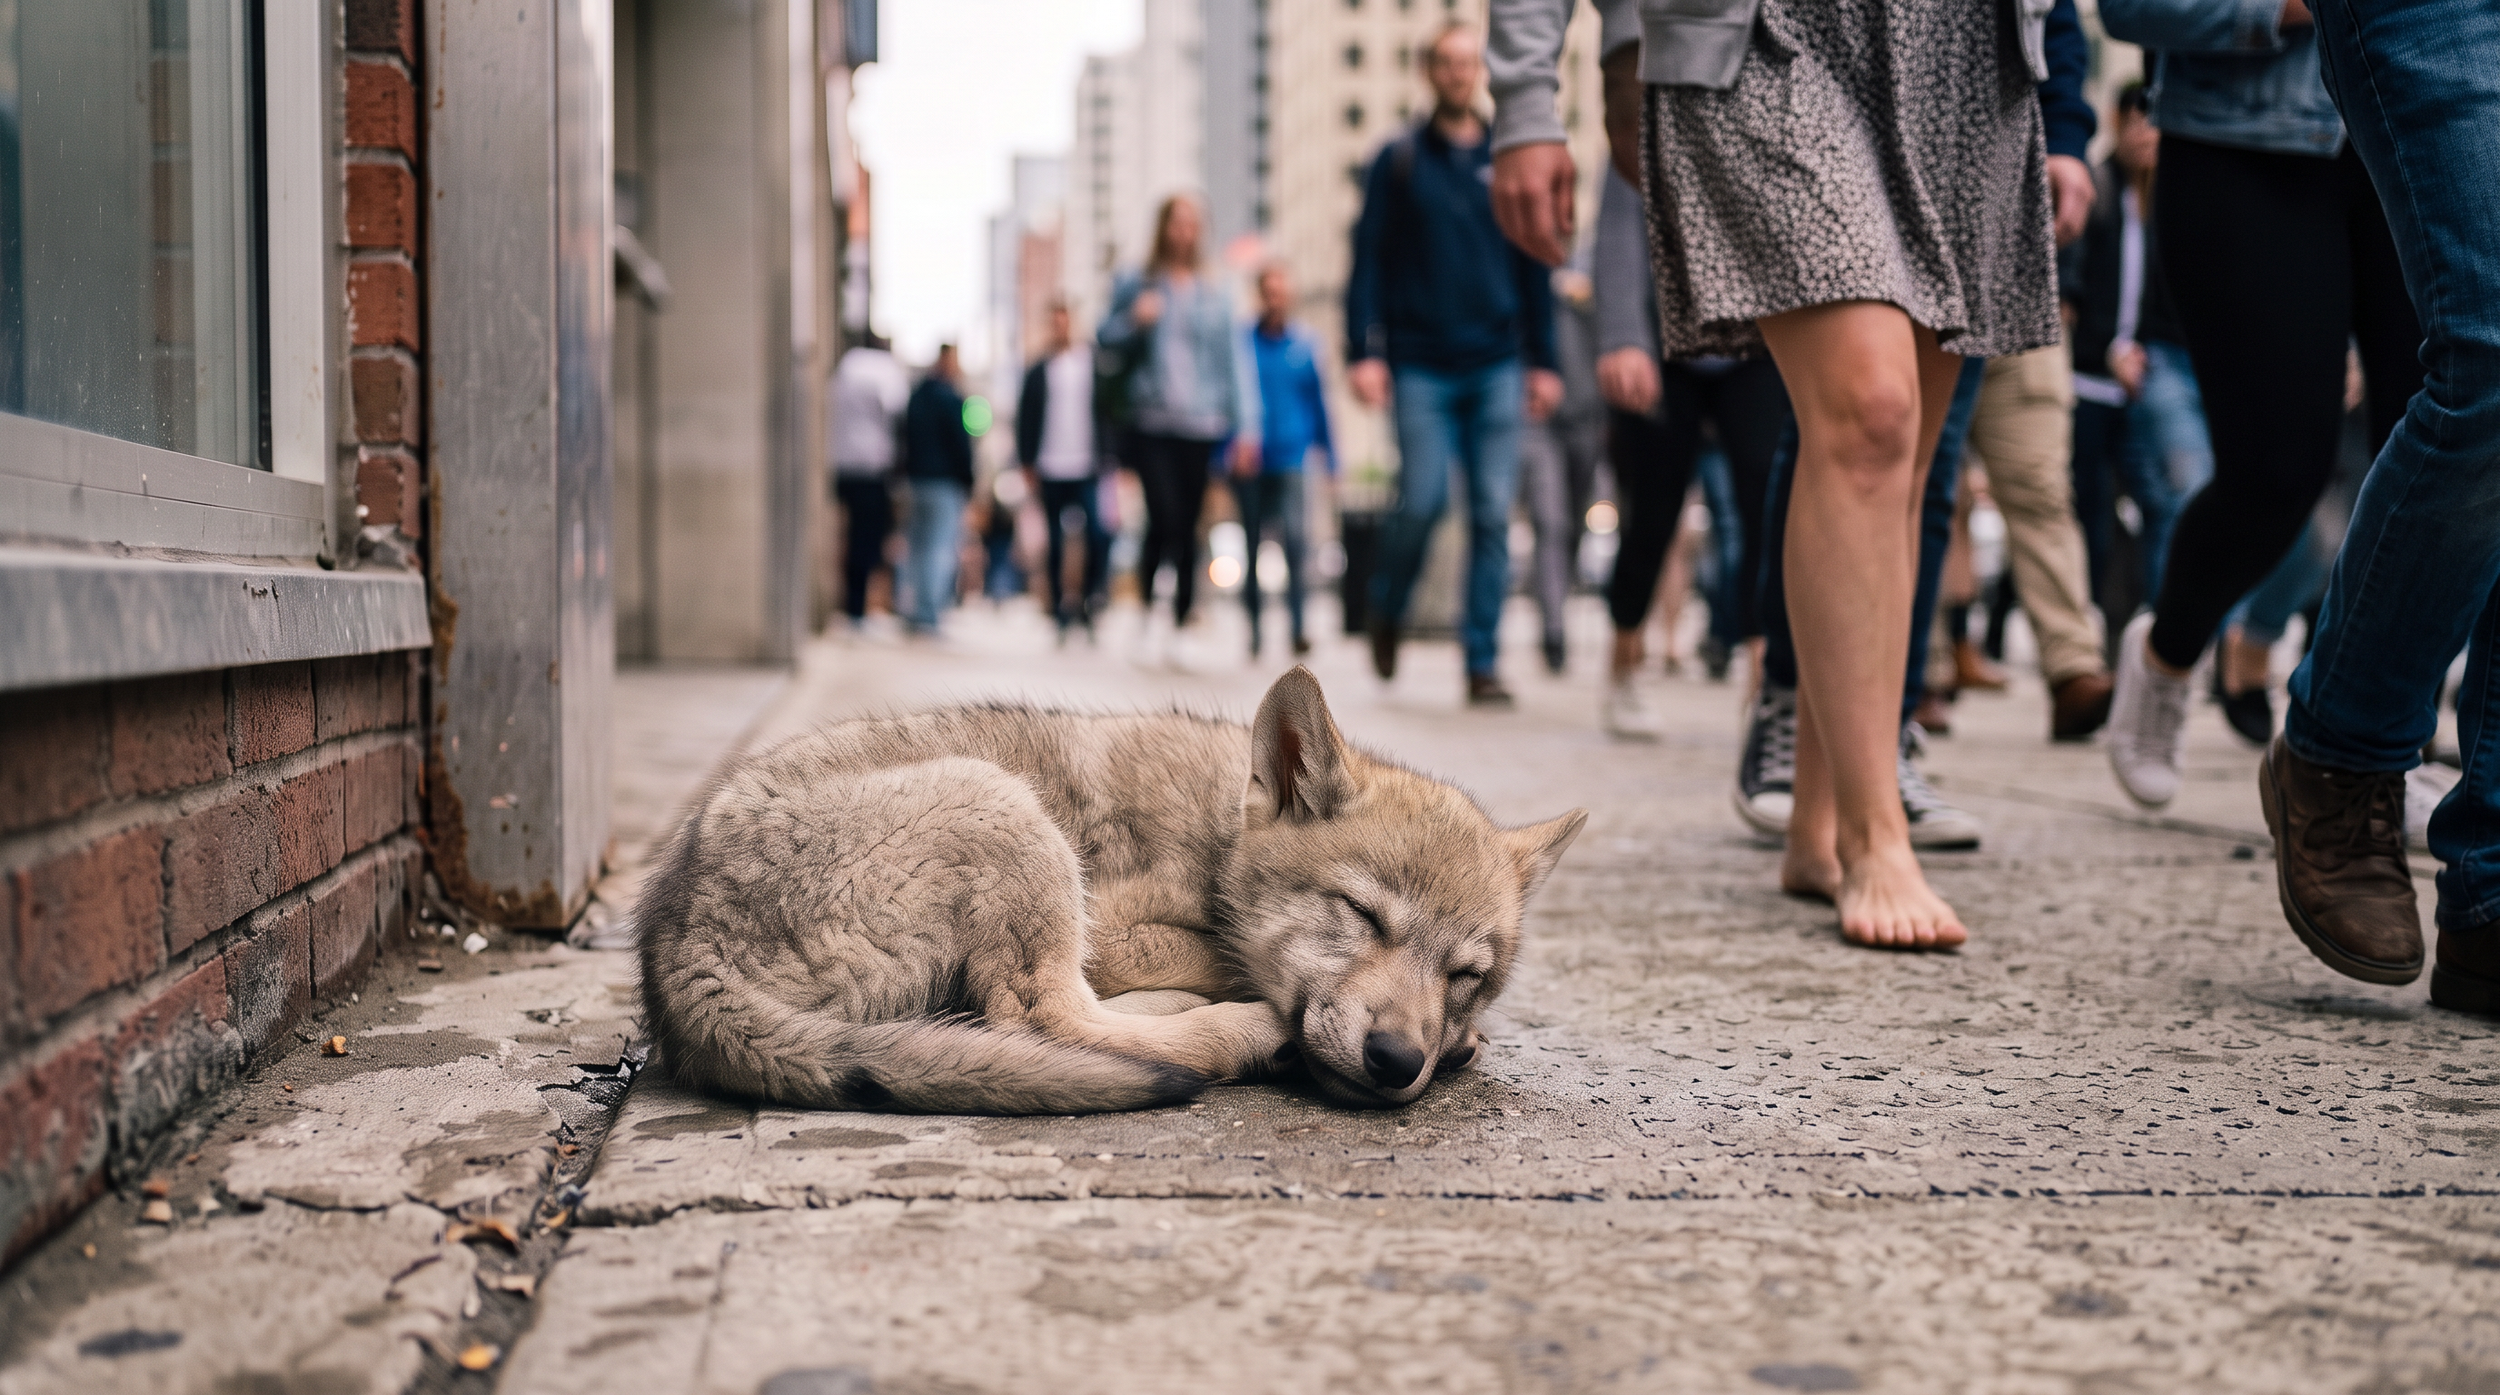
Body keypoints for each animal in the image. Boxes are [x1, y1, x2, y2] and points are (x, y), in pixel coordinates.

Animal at [636, 666, 1585, 1114]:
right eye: (1361, 915)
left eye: (1466, 975)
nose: (1396, 1061)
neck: (1217, 834)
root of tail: (675, 950)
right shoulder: (1121, 926)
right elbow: (1218, 953)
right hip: (1004, 808)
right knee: (1048, 1020)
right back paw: (1247, 1032)